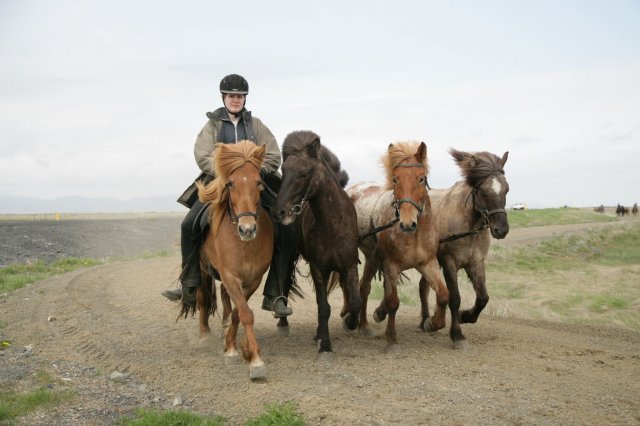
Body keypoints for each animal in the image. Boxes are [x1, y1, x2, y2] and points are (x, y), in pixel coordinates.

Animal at [194, 140, 276, 380]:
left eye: (259, 183)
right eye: (230, 184)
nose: (247, 229)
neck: (245, 244)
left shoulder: (253, 279)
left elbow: (240, 313)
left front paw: (234, 347)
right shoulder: (231, 276)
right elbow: (246, 313)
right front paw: (255, 361)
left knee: (224, 298)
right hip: (202, 269)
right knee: (202, 298)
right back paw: (204, 335)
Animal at [274, 130, 362, 360]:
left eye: (305, 173)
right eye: (284, 170)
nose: (280, 212)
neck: (331, 224)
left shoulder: (348, 266)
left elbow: (355, 302)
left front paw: (350, 322)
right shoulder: (318, 268)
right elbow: (323, 307)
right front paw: (326, 346)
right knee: (286, 285)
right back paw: (285, 323)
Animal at [344, 141, 450, 352]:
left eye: (421, 178)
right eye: (395, 179)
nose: (407, 224)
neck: (414, 236)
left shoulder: (428, 264)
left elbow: (443, 295)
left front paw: (431, 323)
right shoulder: (391, 265)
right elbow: (393, 302)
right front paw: (391, 339)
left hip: (372, 258)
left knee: (365, 287)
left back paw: (365, 324)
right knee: (362, 287)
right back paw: (361, 324)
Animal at [420, 149, 510, 350]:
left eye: (506, 189)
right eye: (483, 192)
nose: (501, 230)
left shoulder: (476, 263)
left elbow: (483, 298)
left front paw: (465, 316)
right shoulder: (449, 263)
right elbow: (455, 299)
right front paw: (457, 335)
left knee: (423, 288)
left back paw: (425, 321)